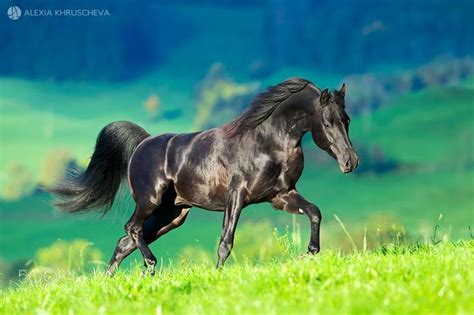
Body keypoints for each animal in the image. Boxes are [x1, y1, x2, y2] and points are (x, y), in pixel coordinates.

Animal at [49, 79, 360, 276]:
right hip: (150, 201)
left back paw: (112, 281)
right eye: (328, 122)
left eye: (347, 120)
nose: (351, 162)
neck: (268, 142)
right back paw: (150, 265)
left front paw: (309, 253)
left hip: (171, 214)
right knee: (131, 229)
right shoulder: (237, 195)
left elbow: (315, 212)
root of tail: (143, 143)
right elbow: (226, 241)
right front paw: (218, 275)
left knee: (124, 242)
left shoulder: (280, 196)